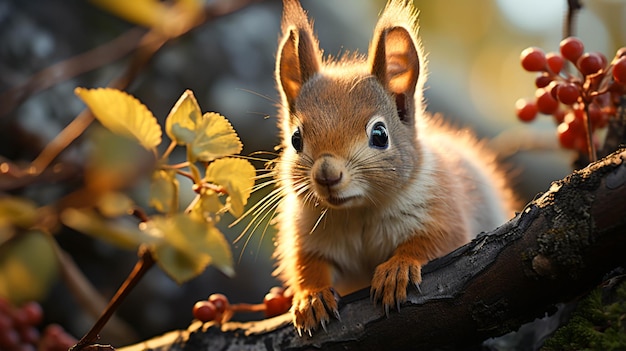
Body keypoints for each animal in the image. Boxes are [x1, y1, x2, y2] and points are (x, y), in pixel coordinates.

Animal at [268, 0, 512, 336]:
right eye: (295, 139)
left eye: (380, 135)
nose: (327, 174)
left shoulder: (443, 209)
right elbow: (307, 265)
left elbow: (433, 242)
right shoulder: (308, 234)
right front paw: (311, 297)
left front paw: (398, 269)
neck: (358, 212)